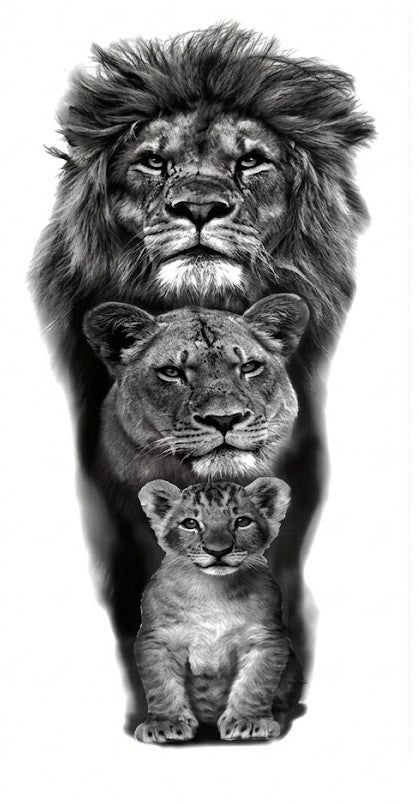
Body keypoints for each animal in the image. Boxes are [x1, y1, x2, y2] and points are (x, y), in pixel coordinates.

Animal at [134, 477, 303, 743]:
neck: (212, 590)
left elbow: (255, 684)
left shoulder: (265, 639)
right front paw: (165, 725)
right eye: (190, 523)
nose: (218, 551)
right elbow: (161, 685)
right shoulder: (158, 638)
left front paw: (248, 723)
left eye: (242, 521)